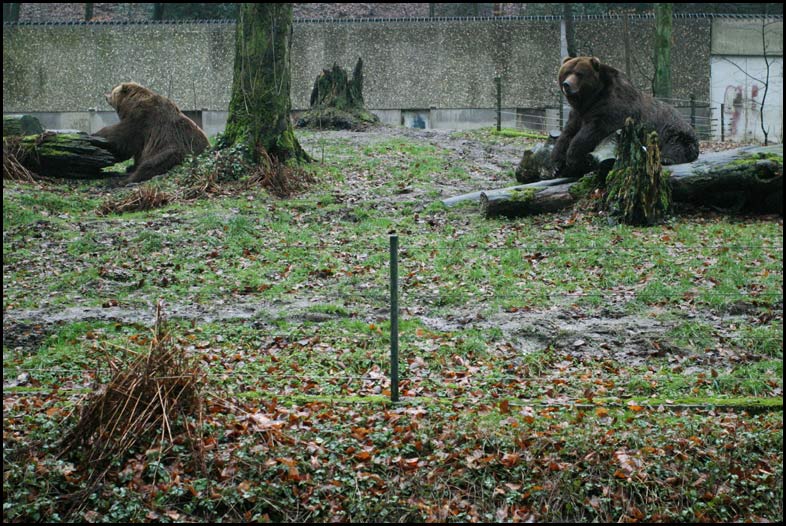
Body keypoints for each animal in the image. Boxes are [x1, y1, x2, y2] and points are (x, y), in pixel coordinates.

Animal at [552, 57, 700, 178]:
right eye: (566, 72)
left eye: (579, 74)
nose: (566, 84)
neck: (591, 99)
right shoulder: (578, 113)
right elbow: (567, 133)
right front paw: (556, 166)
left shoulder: (613, 105)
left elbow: (594, 129)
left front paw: (572, 157)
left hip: (673, 131)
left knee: (677, 145)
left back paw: (666, 158)